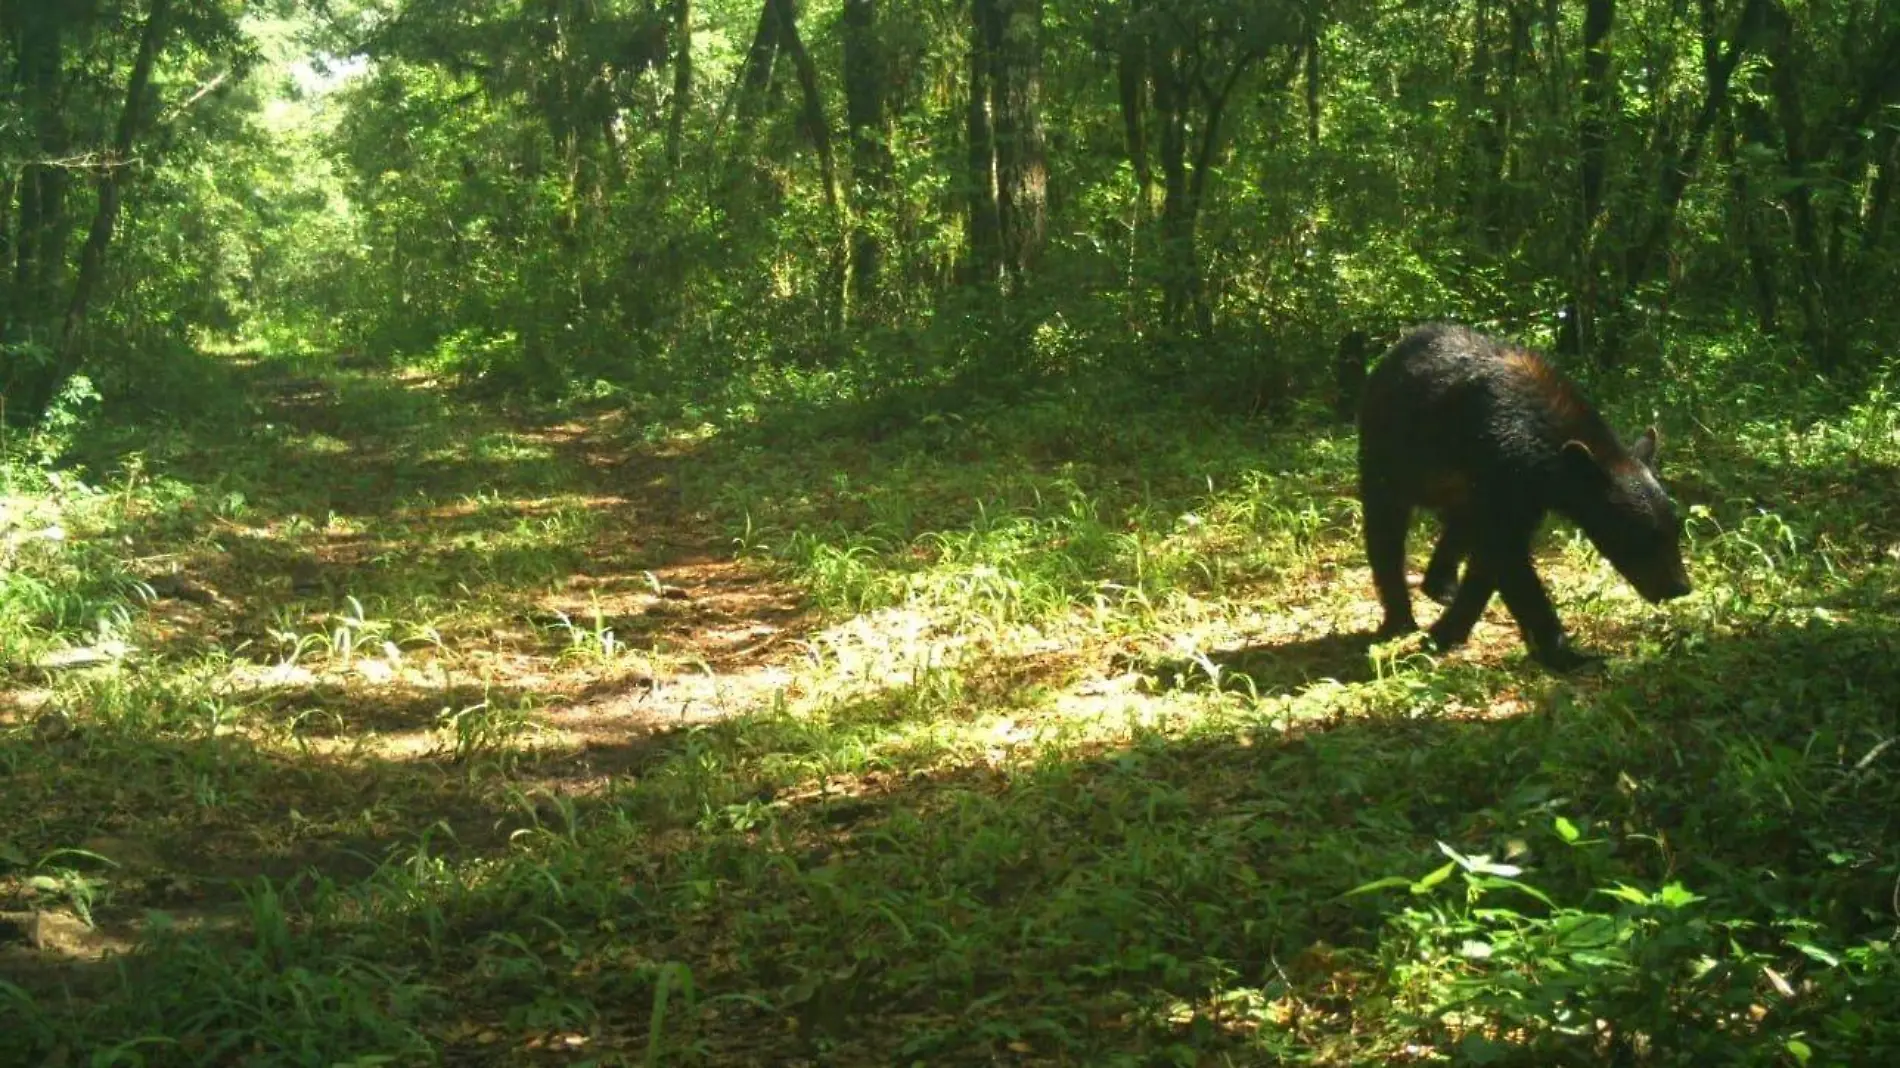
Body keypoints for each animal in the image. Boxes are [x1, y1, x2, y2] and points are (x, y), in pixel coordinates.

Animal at [1352, 323, 1694, 665]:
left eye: (1675, 530)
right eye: (1644, 536)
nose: (1680, 587)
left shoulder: (1519, 492)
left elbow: (1489, 562)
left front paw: (1448, 630)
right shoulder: (1501, 468)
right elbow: (1509, 558)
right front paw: (1566, 652)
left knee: (1460, 525)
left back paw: (1441, 585)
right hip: (1389, 453)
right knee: (1385, 527)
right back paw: (1399, 618)